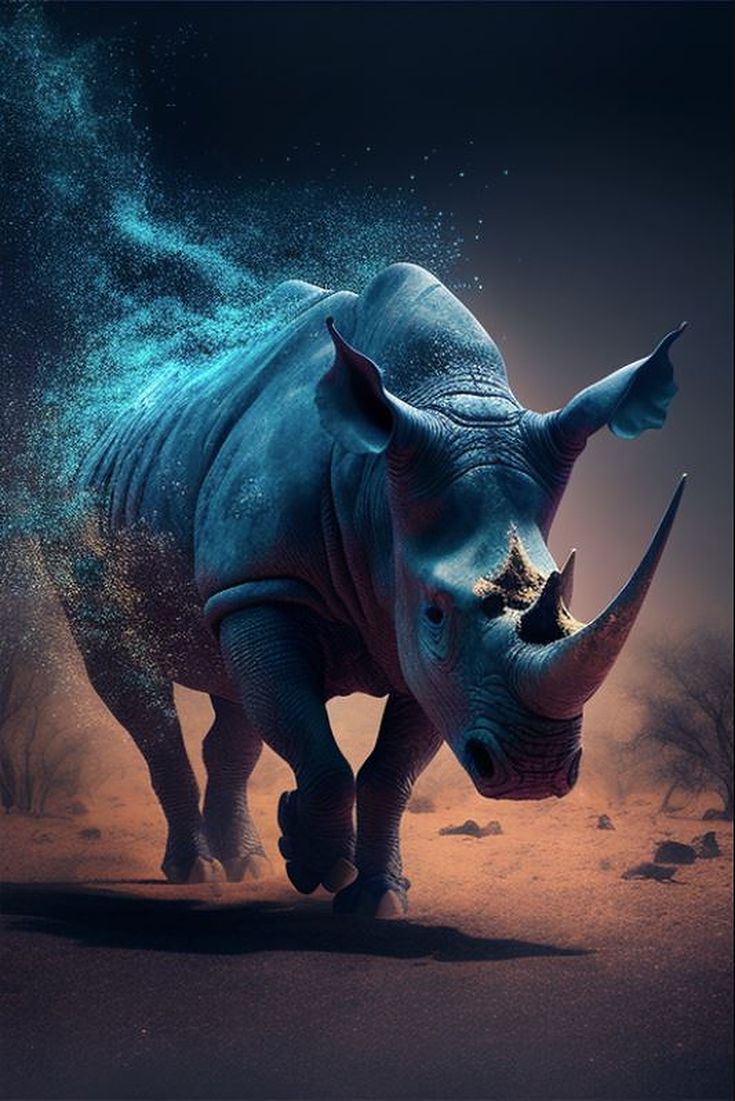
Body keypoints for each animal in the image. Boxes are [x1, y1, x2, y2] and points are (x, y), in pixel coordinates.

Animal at [48, 263, 686, 916]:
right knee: (145, 695)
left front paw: (375, 897)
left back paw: (245, 865)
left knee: (233, 691)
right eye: (435, 614)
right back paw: (198, 871)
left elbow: (389, 771)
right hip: (87, 523)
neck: (376, 488)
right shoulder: (270, 584)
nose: (533, 773)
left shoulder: (420, 654)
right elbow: (319, 751)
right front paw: (315, 862)